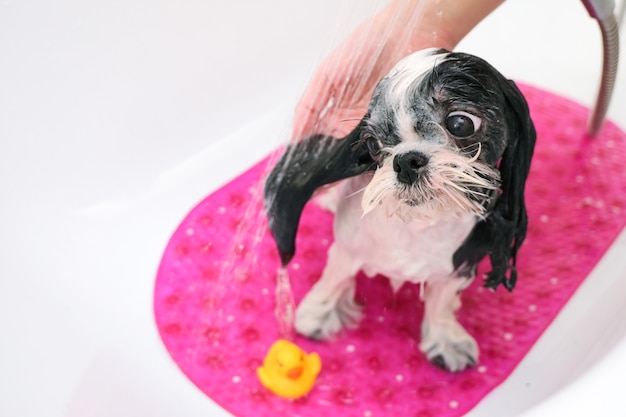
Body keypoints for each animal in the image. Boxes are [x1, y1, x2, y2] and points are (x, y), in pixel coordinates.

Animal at [264, 48, 536, 370]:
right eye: (372, 143)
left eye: (461, 123)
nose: (407, 161)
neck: (417, 224)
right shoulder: (348, 249)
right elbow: (335, 279)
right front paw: (318, 315)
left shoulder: (460, 264)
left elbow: (440, 303)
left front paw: (447, 340)